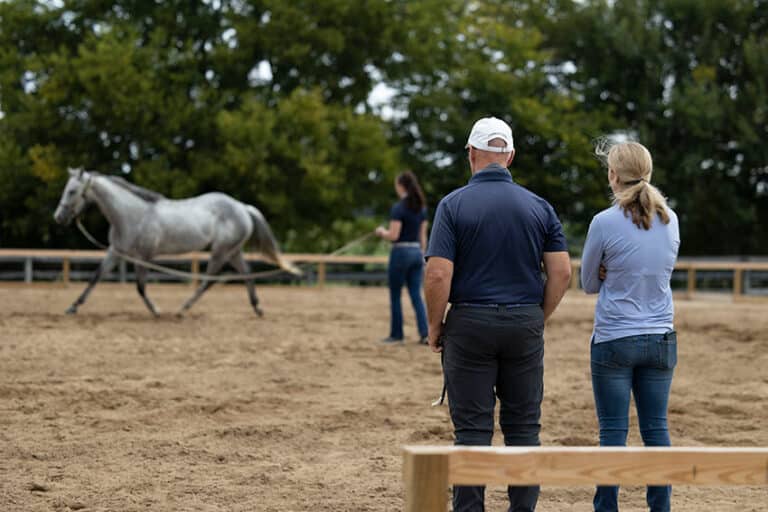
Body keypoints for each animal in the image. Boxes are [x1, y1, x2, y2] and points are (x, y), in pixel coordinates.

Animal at [53, 168, 300, 316]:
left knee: (209, 280)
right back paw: (257, 308)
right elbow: (95, 277)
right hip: (232, 251)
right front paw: (72, 307)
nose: (58, 218)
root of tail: (242, 207)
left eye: (72, 191)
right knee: (246, 273)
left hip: (221, 251)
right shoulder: (116, 251)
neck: (133, 215)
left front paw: (156, 310)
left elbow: (140, 287)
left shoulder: (143, 257)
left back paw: (182, 309)